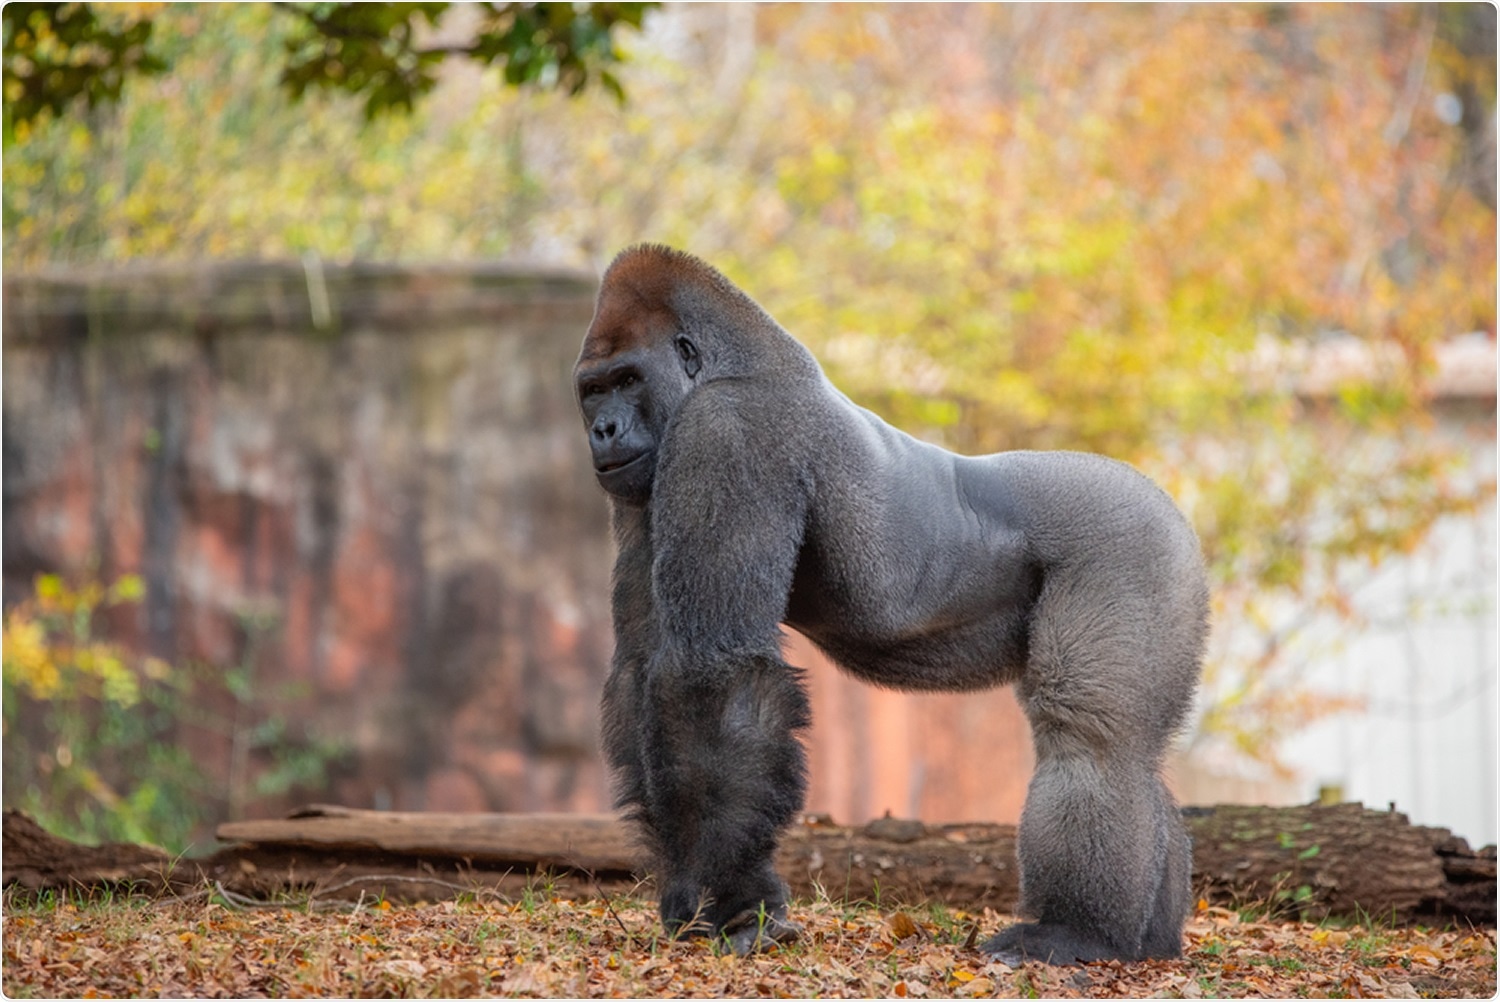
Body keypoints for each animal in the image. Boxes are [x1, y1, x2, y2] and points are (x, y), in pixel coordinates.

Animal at [574, 244, 1208, 963]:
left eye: (628, 379)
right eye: (593, 390)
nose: (604, 429)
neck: (732, 360)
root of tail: (1157, 496)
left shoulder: (727, 431)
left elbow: (711, 673)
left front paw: (736, 899)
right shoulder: (643, 485)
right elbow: (642, 669)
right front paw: (689, 892)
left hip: (1132, 542)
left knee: (1092, 739)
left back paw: (1077, 928)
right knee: (1133, 751)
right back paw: (1144, 940)